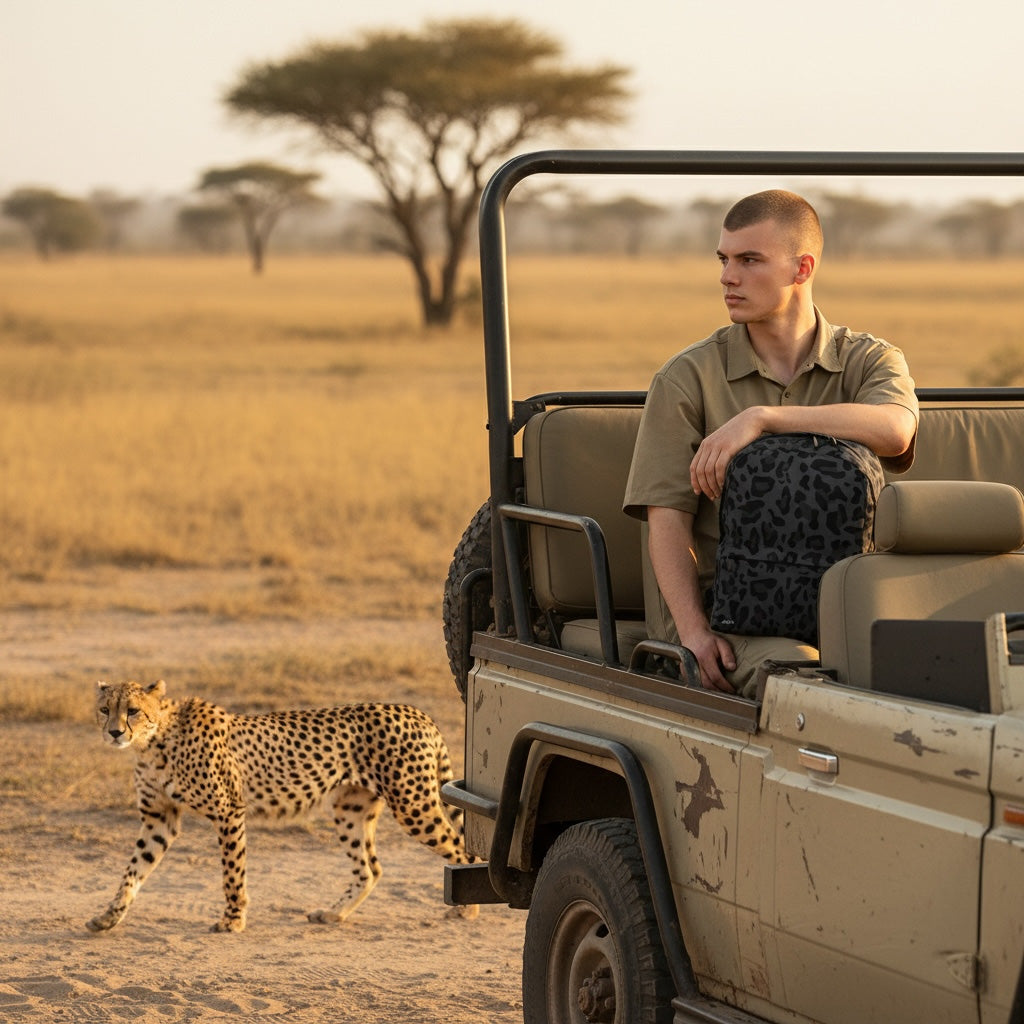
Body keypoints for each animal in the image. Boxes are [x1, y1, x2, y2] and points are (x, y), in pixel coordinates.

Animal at [87, 679, 477, 933]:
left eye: (133, 711)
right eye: (105, 710)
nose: (114, 732)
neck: (154, 742)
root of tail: (416, 711)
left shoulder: (229, 811)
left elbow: (232, 873)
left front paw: (233, 919)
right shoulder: (160, 818)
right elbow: (133, 869)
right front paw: (108, 916)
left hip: (413, 806)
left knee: (461, 850)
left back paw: (468, 909)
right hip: (350, 809)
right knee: (369, 869)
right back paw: (333, 914)